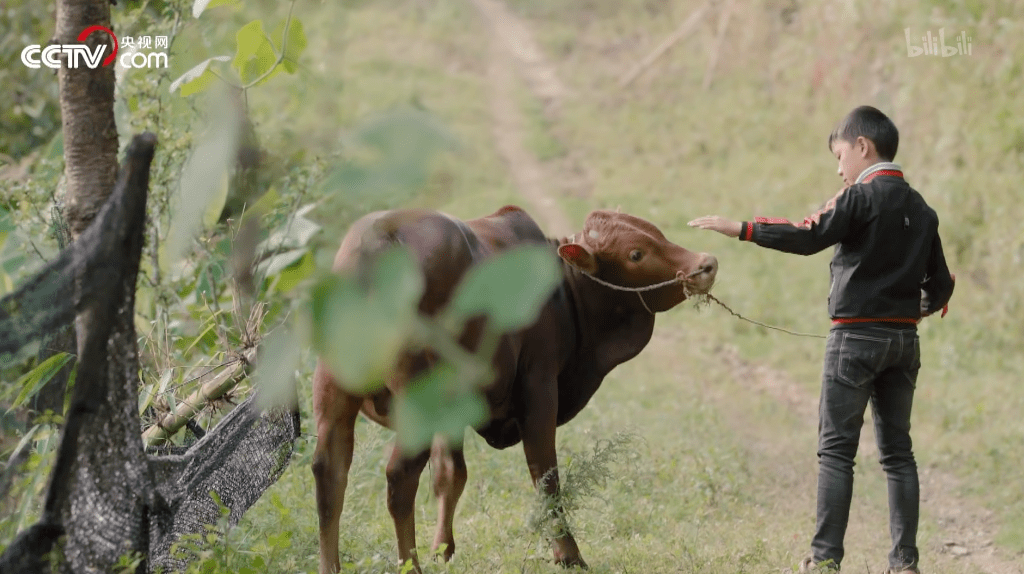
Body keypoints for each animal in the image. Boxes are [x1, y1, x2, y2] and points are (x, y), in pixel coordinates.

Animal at [307, 203, 716, 568]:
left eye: (658, 233)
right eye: (636, 253)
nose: (707, 264)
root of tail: (374, 246)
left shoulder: (454, 411)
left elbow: (450, 475)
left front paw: (443, 550)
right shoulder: (539, 389)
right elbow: (546, 479)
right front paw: (569, 555)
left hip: (333, 393)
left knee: (329, 476)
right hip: (418, 402)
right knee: (400, 479)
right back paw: (411, 566)